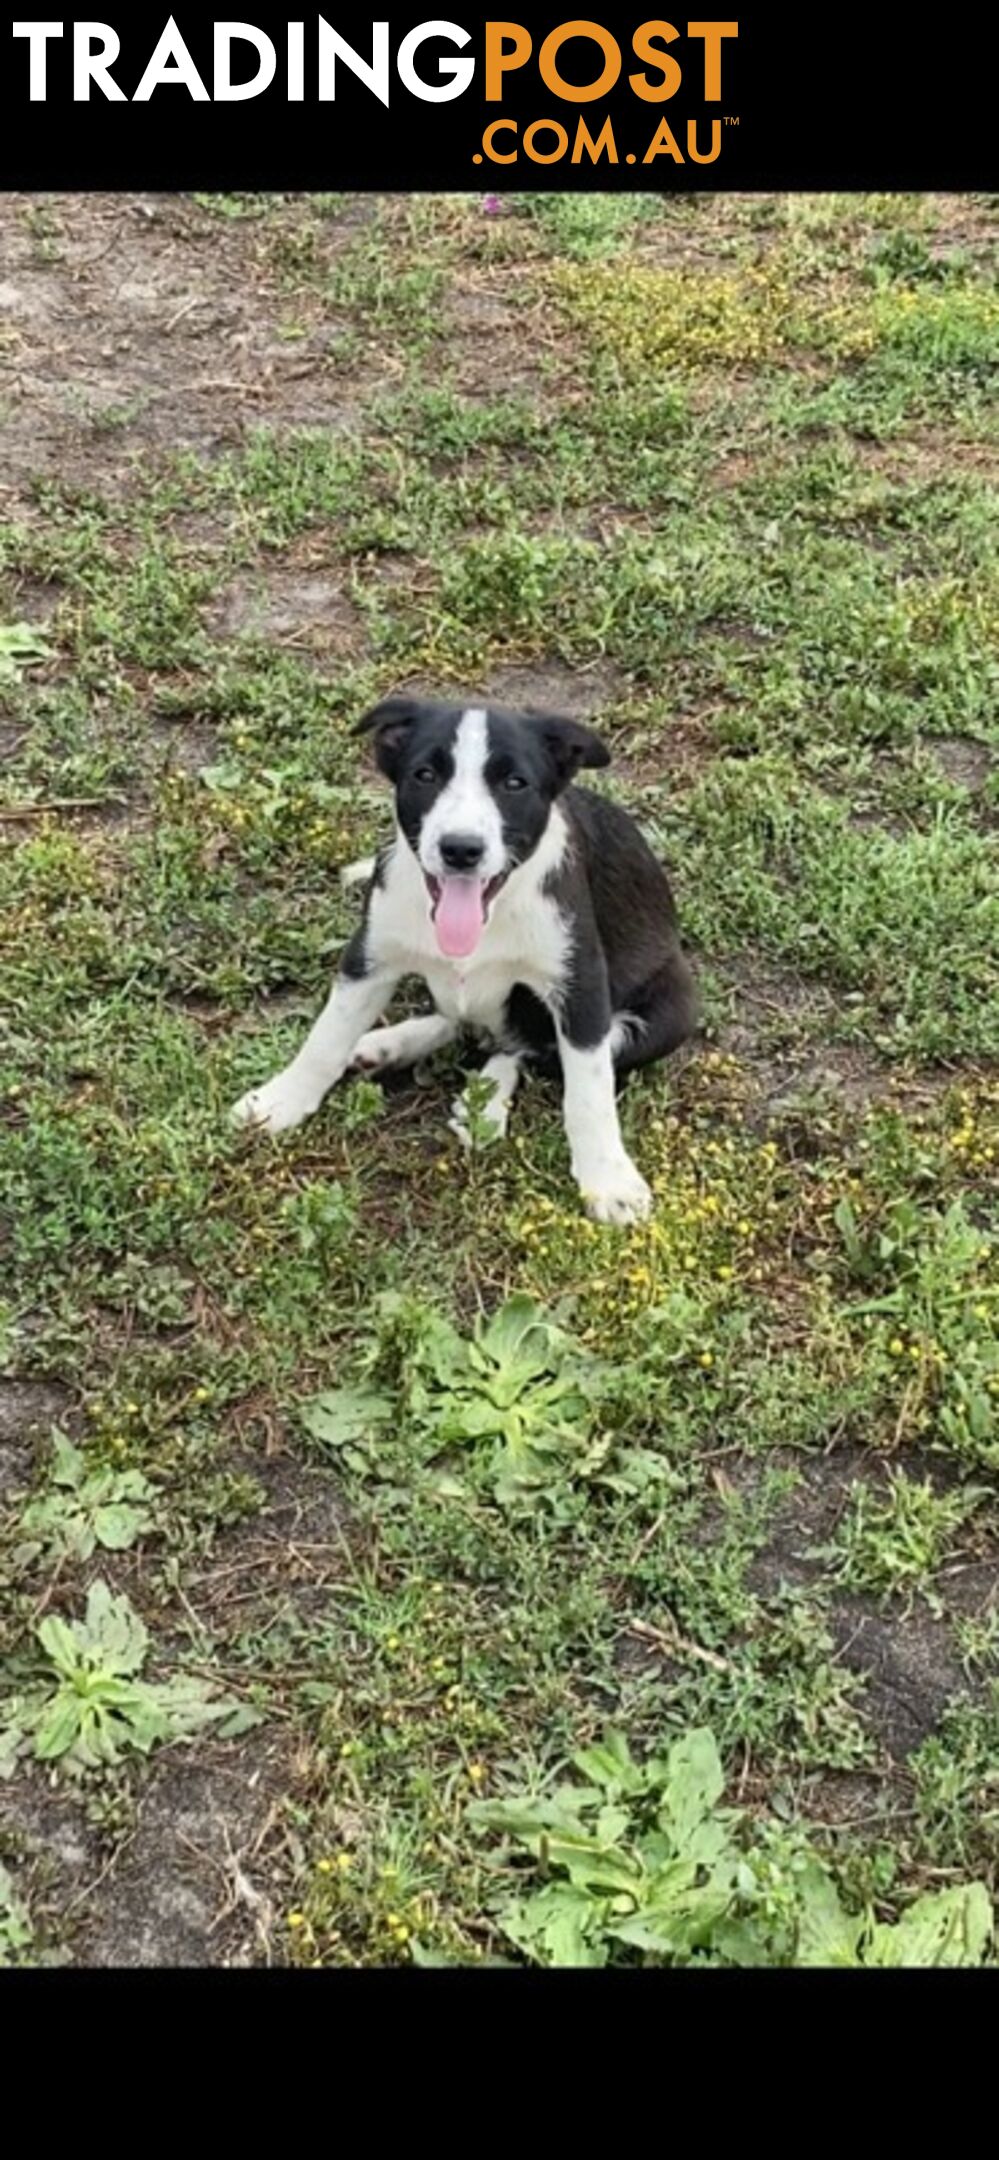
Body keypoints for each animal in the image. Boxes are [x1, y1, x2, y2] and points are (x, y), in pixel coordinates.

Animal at [232, 699, 696, 1226]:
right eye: (425, 775)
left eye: (514, 783)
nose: (460, 849)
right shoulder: (368, 957)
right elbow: (325, 1039)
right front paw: (282, 1099)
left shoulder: (581, 985)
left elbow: (588, 1089)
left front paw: (608, 1180)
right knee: (464, 1023)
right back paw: (387, 1045)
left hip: (673, 1012)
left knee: (528, 1049)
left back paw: (486, 1101)